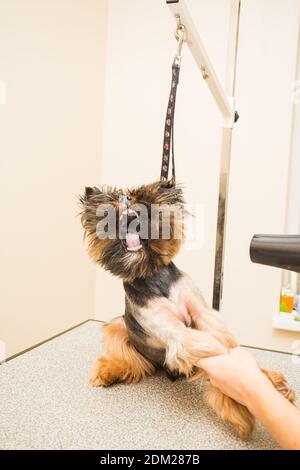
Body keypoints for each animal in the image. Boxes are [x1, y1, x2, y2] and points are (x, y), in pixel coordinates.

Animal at [79, 181, 296, 440]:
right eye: (111, 215)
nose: (129, 216)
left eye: (145, 208)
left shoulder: (204, 316)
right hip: (118, 325)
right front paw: (236, 406)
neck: (152, 275)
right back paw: (107, 372)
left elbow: (224, 343)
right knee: (130, 360)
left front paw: (264, 382)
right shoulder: (177, 335)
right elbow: (214, 352)